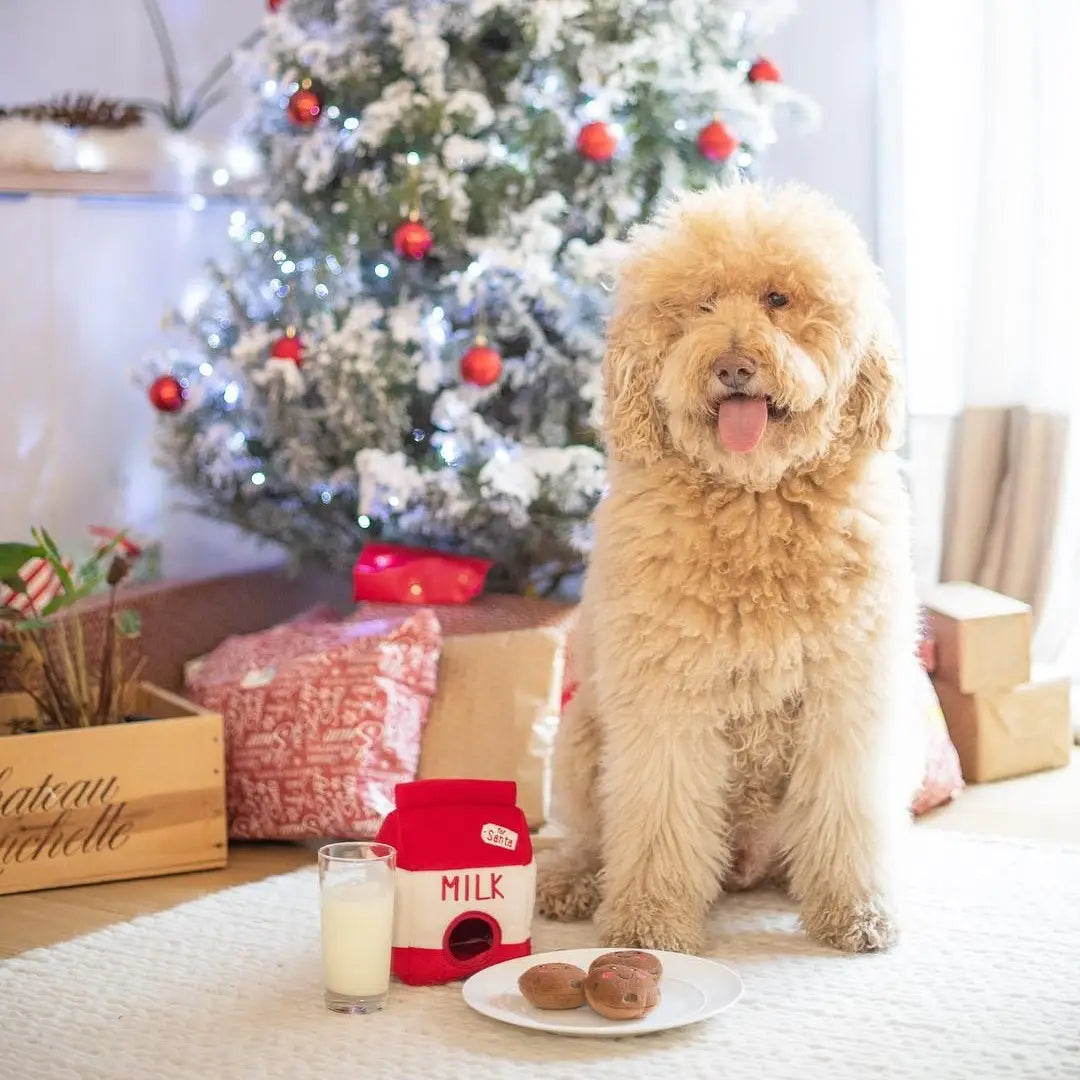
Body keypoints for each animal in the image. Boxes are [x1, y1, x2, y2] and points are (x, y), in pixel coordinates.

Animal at [544, 183, 915, 954]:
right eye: (704, 304)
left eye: (778, 298)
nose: (734, 367)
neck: (755, 500)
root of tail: (746, 866)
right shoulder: (666, 701)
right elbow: (658, 815)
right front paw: (649, 924)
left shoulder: (847, 699)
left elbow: (848, 813)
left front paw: (855, 912)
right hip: (580, 739)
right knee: (590, 834)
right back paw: (572, 880)